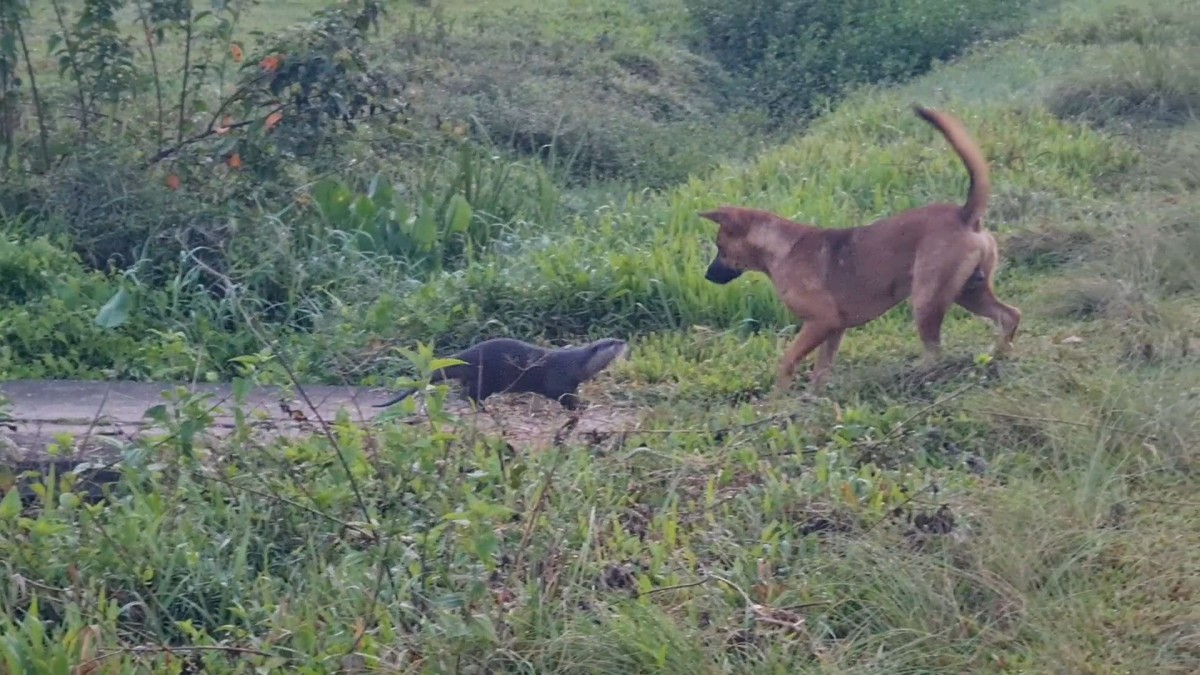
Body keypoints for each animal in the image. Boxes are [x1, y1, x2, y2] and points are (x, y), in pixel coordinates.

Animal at [372, 336, 628, 410]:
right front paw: (579, 407)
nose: (624, 341)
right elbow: (562, 396)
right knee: (471, 394)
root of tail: (464, 356)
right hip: (486, 378)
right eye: (612, 343)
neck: (576, 363)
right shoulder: (560, 379)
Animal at [700, 103, 1022, 393]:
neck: (780, 249)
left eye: (720, 246)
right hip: (969, 292)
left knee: (935, 351)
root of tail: (965, 215)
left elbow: (787, 361)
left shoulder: (821, 322)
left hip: (926, 300)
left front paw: (778, 401)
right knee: (1010, 316)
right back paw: (996, 356)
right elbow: (820, 372)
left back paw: (919, 377)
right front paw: (812, 403)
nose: (706, 276)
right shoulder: (833, 331)